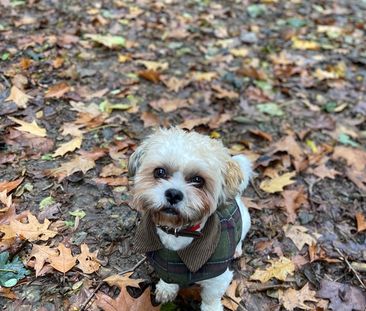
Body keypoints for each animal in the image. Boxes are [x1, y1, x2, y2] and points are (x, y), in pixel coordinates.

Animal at [129, 128, 252, 310]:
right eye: (160, 172)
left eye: (198, 180)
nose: (173, 194)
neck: (178, 232)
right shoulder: (163, 264)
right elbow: (167, 277)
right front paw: (167, 289)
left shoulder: (218, 278)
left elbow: (211, 297)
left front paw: (211, 308)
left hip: (245, 219)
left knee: (240, 236)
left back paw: (236, 249)